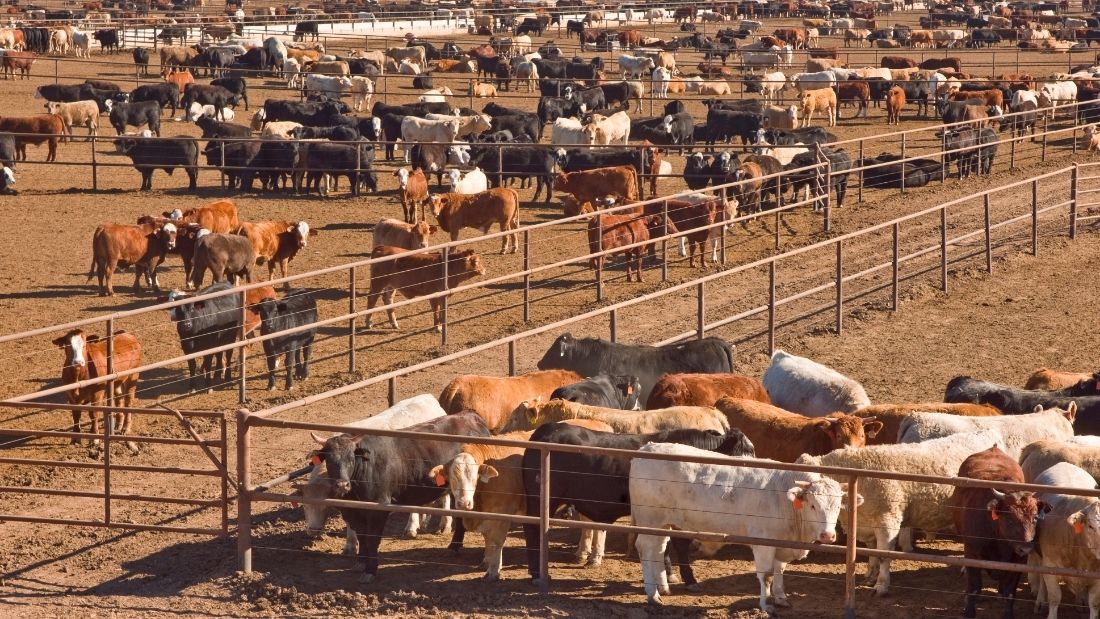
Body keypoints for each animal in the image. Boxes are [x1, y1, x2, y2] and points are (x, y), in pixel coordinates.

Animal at [312, 412, 491, 583]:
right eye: (329, 459)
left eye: (351, 458)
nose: (342, 485)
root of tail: (471, 416)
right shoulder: (354, 512)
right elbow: (362, 537)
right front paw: (360, 563)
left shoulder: (378, 508)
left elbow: (372, 540)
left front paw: (370, 571)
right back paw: (454, 547)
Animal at [632, 442, 854, 609]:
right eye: (813, 505)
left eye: (837, 507)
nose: (828, 535)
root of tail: (647, 448)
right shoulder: (764, 543)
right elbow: (766, 575)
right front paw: (765, 605)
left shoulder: (781, 543)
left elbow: (779, 571)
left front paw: (781, 598)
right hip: (648, 519)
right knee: (645, 549)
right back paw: (652, 595)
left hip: (662, 523)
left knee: (658, 549)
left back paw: (662, 587)